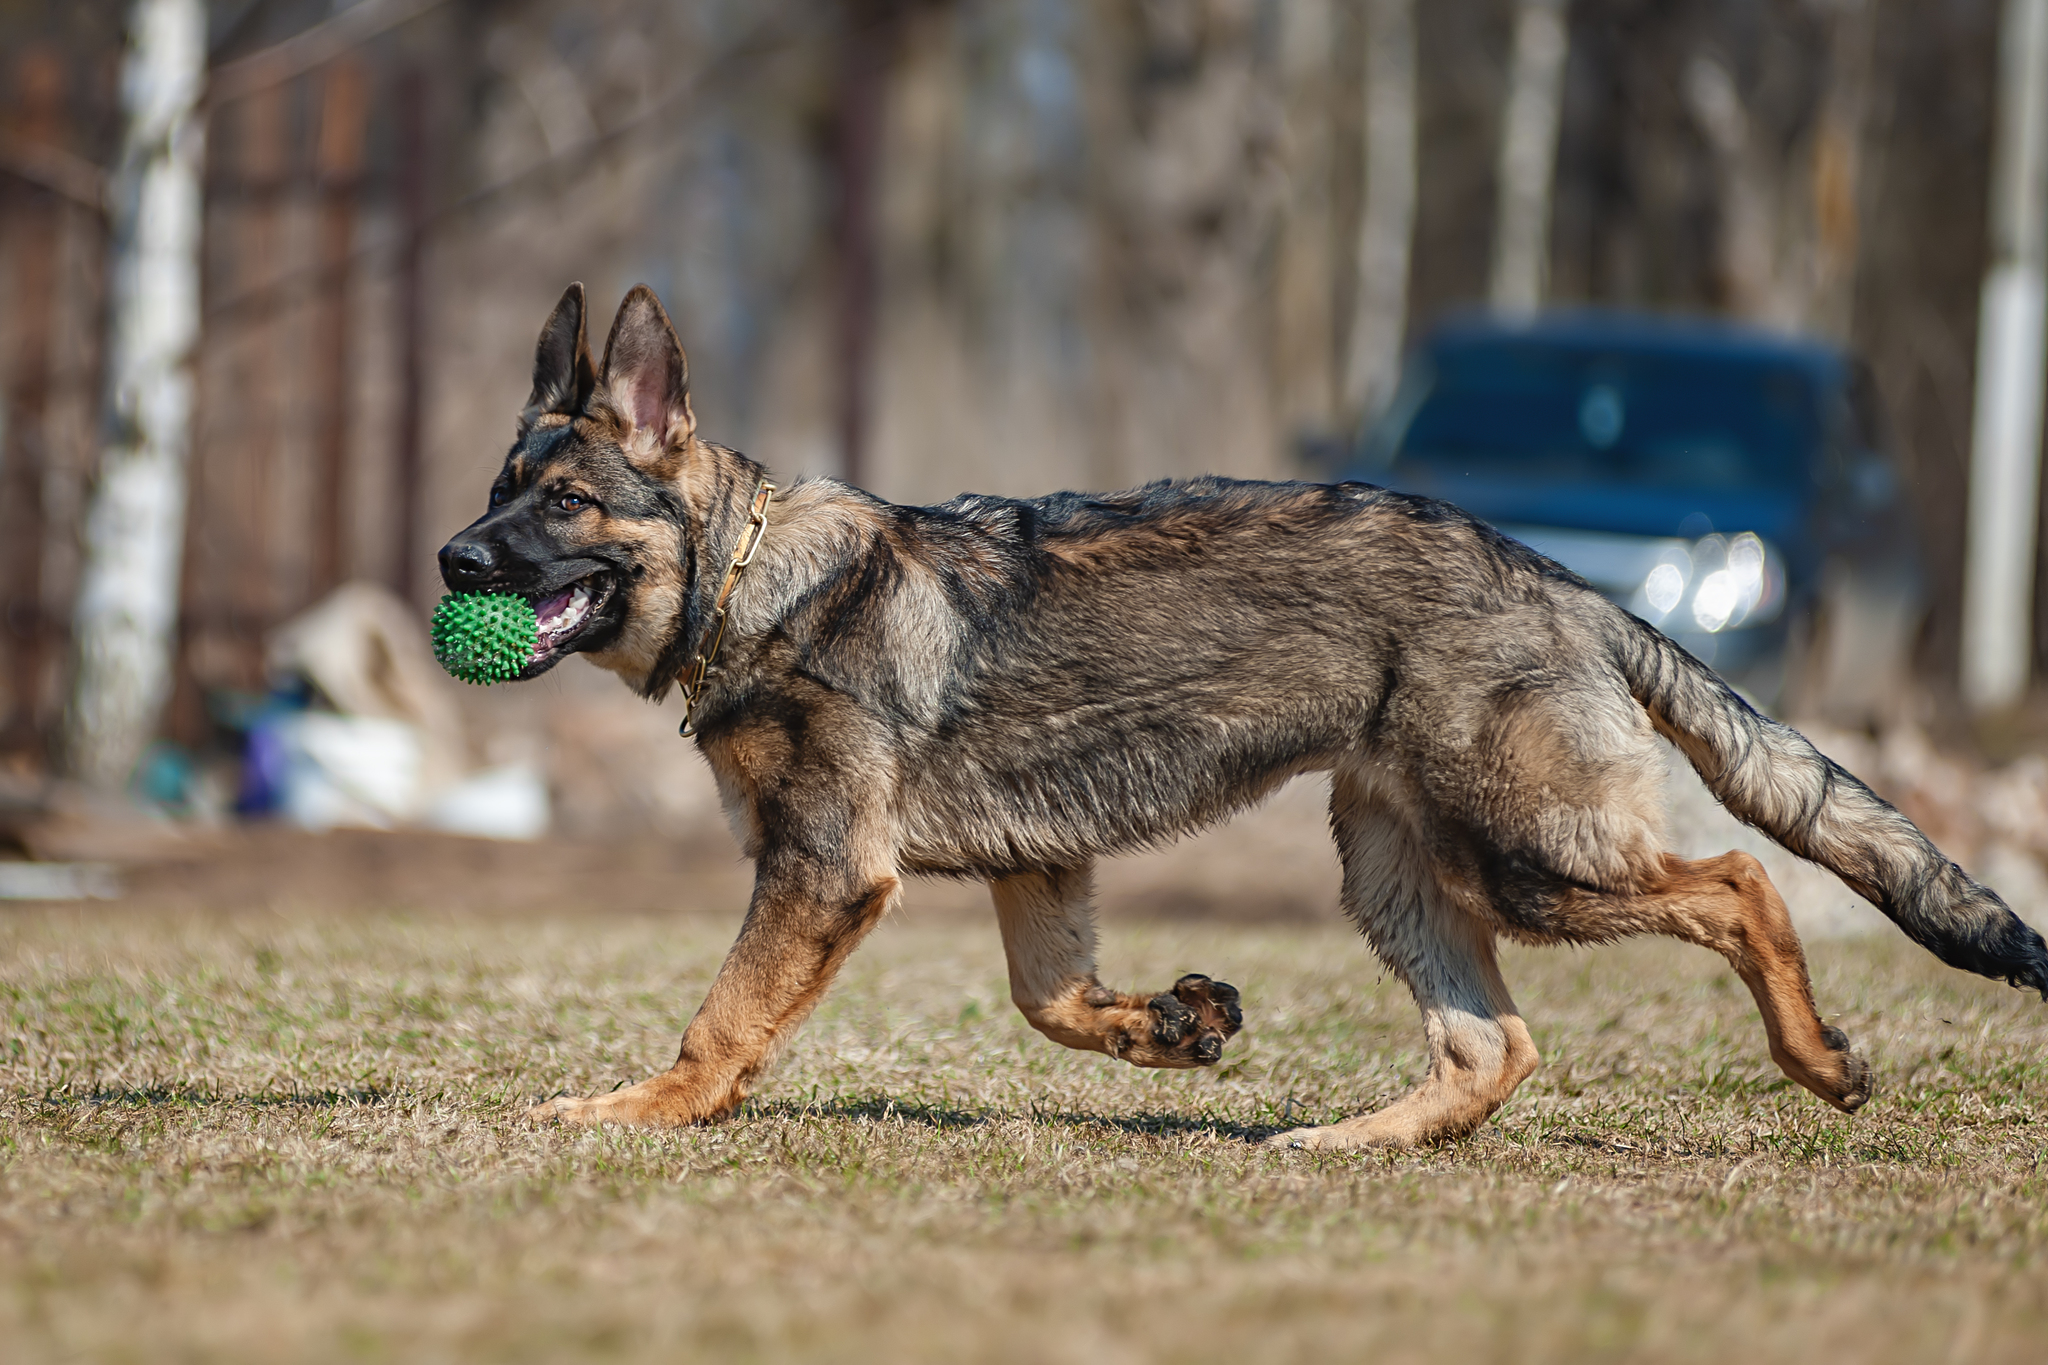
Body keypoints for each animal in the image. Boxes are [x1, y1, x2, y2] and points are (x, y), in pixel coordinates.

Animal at [444, 286, 2048, 1154]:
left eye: (564, 503)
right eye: (496, 487)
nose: (453, 562)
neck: (751, 573)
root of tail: (1557, 579)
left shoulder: (826, 871)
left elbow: (723, 1017)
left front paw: (640, 1109)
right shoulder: (1035, 866)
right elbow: (1047, 1000)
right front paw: (1172, 1025)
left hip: (1528, 855)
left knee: (1739, 882)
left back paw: (1817, 1061)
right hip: (1394, 866)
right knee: (1493, 1048)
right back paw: (1342, 1141)